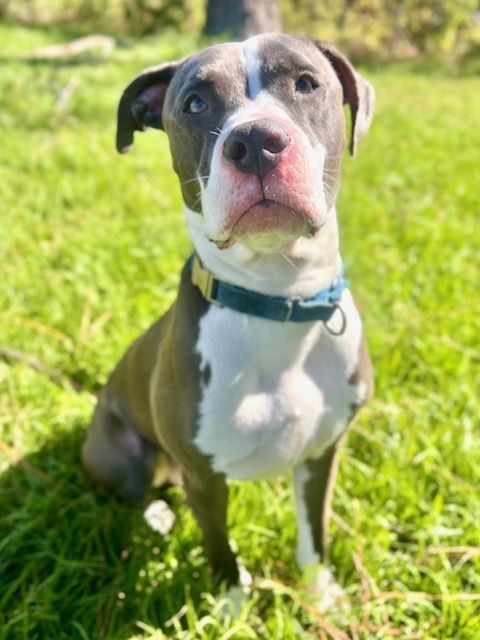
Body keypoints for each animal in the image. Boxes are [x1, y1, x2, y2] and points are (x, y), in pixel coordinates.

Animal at [81, 33, 376, 604]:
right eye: (195, 103)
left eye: (306, 82)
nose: (256, 140)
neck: (279, 300)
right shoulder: (202, 476)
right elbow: (219, 548)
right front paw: (230, 604)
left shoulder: (322, 454)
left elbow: (315, 532)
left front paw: (320, 593)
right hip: (123, 454)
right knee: (137, 491)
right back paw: (156, 515)